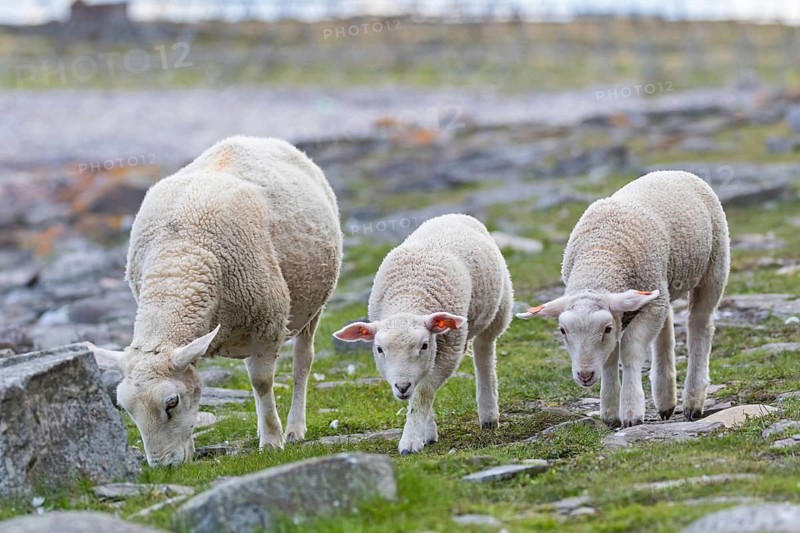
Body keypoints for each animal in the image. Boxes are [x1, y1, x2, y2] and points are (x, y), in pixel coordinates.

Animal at [86, 136, 342, 467]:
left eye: (171, 402)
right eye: (126, 409)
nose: (163, 466)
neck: (179, 257)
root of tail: (254, 138)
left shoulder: (268, 321)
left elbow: (262, 382)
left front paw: (272, 441)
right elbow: (197, 381)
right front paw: (191, 449)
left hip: (313, 306)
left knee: (302, 363)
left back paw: (295, 429)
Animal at [333, 214, 513, 454]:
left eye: (424, 345)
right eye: (379, 349)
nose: (401, 387)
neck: (409, 296)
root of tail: (452, 215)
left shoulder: (448, 351)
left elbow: (422, 395)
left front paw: (410, 441)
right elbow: (418, 394)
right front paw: (427, 432)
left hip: (499, 309)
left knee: (484, 351)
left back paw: (489, 415)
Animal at [516, 170, 729, 428]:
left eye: (606, 328)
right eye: (562, 331)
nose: (584, 375)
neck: (601, 256)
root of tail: (671, 171)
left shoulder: (644, 306)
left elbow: (630, 351)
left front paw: (631, 411)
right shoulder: (643, 302)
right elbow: (610, 358)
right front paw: (609, 412)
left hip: (713, 266)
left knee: (700, 324)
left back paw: (693, 401)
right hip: (662, 285)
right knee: (665, 328)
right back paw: (665, 400)